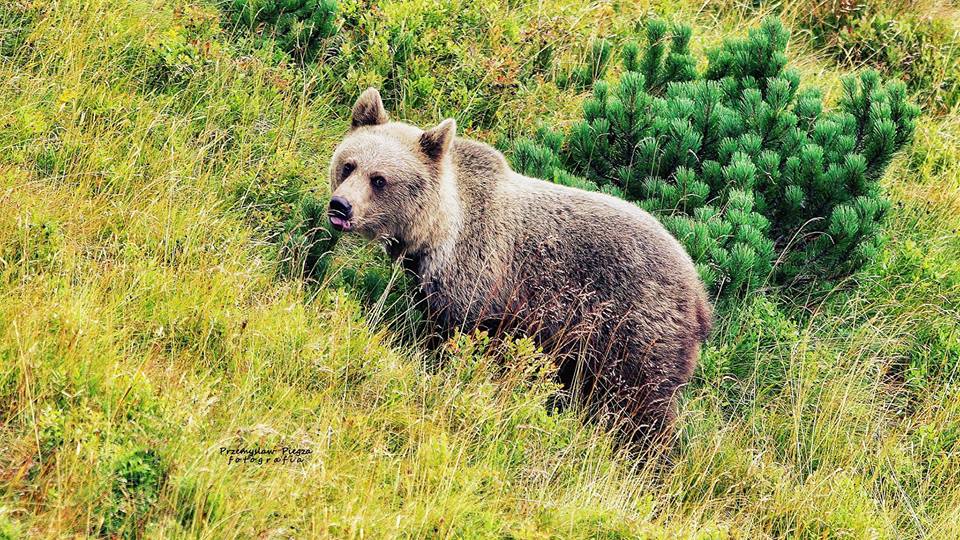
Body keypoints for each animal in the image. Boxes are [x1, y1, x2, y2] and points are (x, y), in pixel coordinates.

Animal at [330, 87, 712, 442]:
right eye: (348, 165)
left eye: (380, 179)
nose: (340, 206)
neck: (439, 232)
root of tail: (699, 293)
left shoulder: (479, 278)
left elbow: (456, 338)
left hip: (633, 329)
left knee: (640, 403)